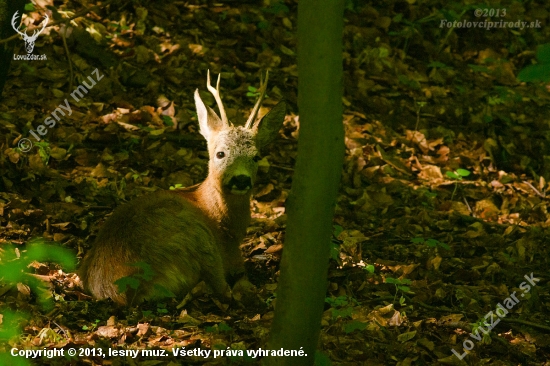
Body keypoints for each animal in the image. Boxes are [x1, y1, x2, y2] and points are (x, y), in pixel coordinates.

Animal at [80, 70, 286, 304]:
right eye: (220, 153)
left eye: (256, 157)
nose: (241, 179)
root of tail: (119, 291)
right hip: (197, 238)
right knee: (222, 289)